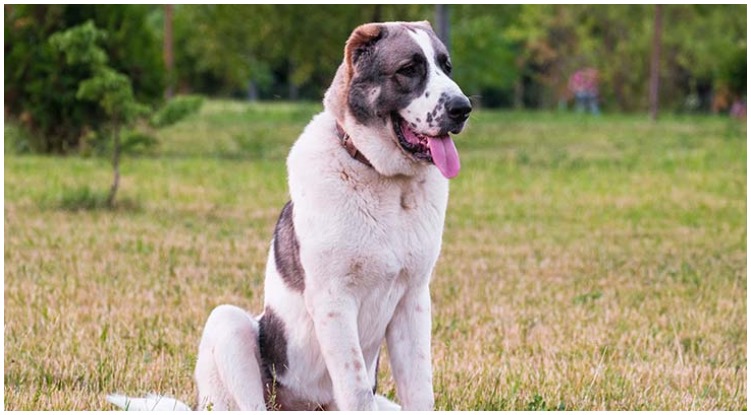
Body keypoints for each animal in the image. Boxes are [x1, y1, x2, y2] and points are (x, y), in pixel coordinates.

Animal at [107, 20, 470, 412]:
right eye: (408, 69)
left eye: (446, 67)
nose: (462, 108)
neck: (383, 180)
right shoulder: (334, 301)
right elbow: (356, 388)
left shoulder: (412, 301)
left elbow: (420, 388)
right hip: (230, 325)